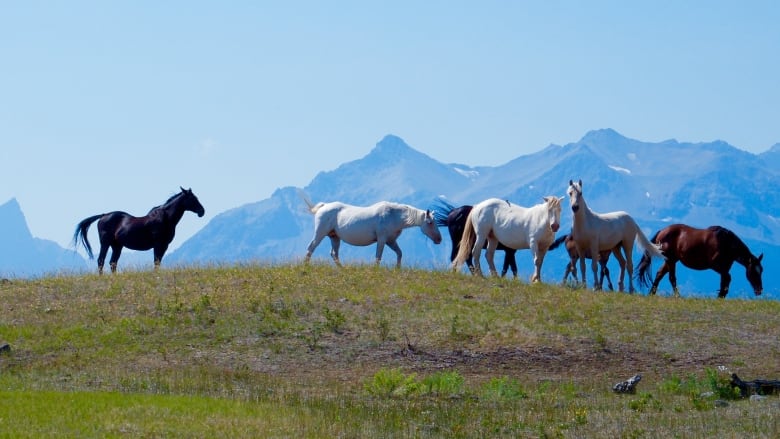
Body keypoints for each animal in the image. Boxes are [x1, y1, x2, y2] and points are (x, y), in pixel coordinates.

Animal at [72, 188, 204, 276]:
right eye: (193, 198)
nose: (202, 211)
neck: (165, 218)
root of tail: (104, 215)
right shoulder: (158, 244)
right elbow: (156, 261)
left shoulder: (164, 245)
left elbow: (158, 261)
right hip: (105, 243)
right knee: (101, 260)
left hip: (117, 246)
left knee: (112, 263)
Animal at [302, 199, 442, 268]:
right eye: (430, 222)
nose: (439, 239)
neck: (394, 215)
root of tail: (323, 206)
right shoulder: (382, 240)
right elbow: (378, 256)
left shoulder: (391, 241)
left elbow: (399, 253)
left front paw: (397, 269)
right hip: (320, 233)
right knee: (311, 247)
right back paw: (306, 266)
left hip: (334, 237)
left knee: (334, 254)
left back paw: (343, 269)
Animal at [632, 223, 760, 300]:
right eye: (754, 271)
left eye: (761, 271)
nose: (759, 290)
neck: (725, 242)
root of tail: (662, 231)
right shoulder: (715, 266)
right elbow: (727, 278)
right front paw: (721, 295)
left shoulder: (724, 268)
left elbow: (724, 280)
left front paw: (721, 295)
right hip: (671, 260)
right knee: (671, 278)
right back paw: (677, 296)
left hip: (671, 260)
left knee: (659, 274)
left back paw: (652, 293)